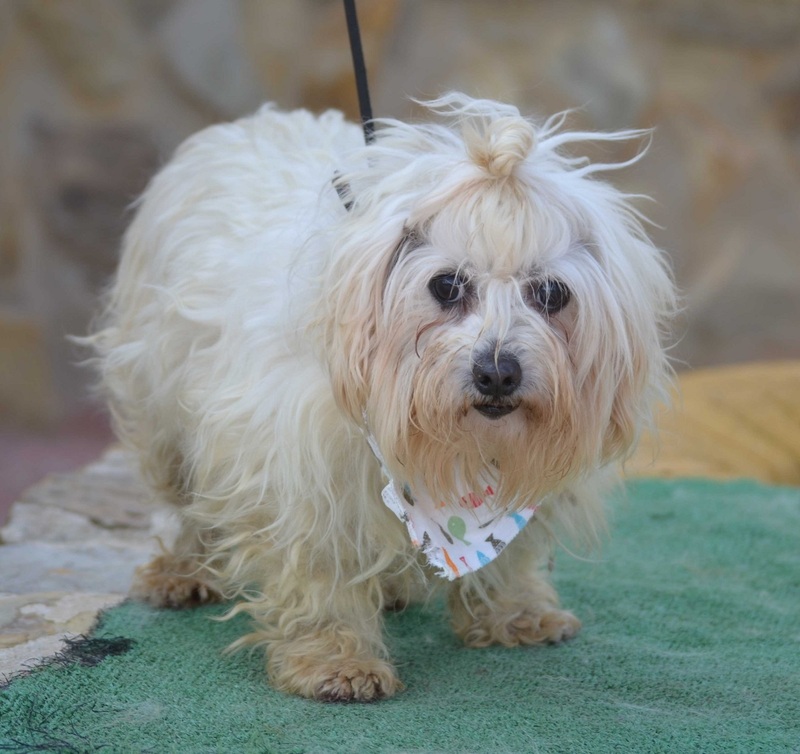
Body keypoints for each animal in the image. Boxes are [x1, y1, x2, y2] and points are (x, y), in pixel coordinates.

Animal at [89, 94, 675, 702]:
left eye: (552, 293)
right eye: (447, 285)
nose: (497, 373)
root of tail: (260, 118)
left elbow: (510, 553)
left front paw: (511, 613)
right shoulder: (300, 472)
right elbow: (320, 571)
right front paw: (336, 660)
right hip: (159, 407)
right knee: (183, 503)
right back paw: (183, 572)